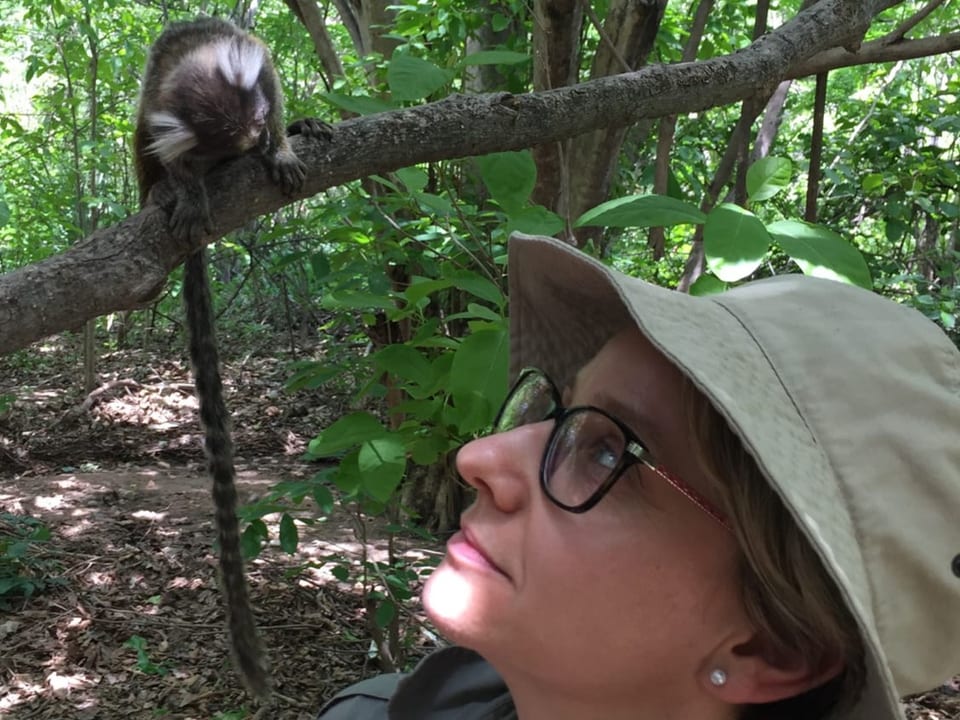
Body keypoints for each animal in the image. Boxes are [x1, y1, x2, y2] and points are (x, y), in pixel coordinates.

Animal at [133, 15, 330, 696]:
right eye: (226, 136)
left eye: (255, 120)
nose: (249, 142)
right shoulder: (160, 112)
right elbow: (167, 154)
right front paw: (186, 190)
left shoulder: (254, 62)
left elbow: (274, 84)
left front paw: (284, 144)